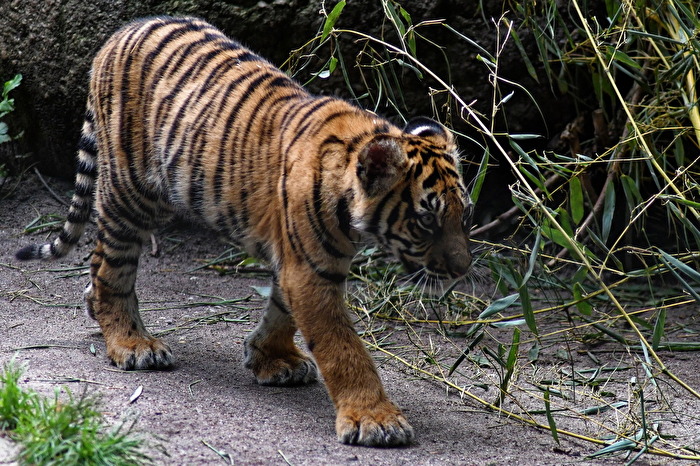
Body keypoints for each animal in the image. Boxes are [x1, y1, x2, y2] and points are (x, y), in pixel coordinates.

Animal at [16, 16, 473, 447]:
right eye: (427, 220)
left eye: (464, 215)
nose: (463, 269)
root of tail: (119, 33)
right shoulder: (312, 271)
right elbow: (344, 348)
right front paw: (375, 420)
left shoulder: (299, 261)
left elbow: (282, 311)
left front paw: (271, 359)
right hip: (133, 192)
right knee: (111, 266)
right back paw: (133, 344)